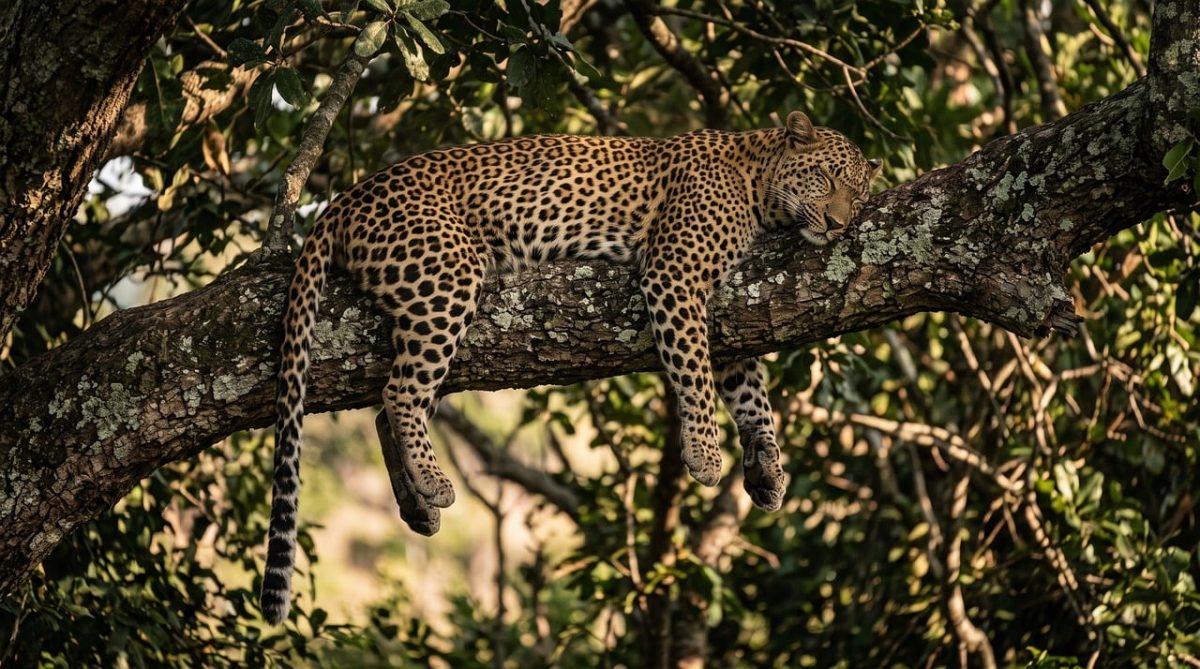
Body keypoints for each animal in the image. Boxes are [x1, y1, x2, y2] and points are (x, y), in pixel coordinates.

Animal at [260, 110, 881, 624]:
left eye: (858, 195)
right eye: (826, 179)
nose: (836, 223)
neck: (760, 186)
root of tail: (345, 198)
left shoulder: (730, 310)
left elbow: (750, 392)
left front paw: (768, 468)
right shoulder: (675, 274)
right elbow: (696, 375)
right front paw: (706, 456)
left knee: (385, 410)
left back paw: (418, 506)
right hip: (447, 276)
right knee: (399, 395)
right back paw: (436, 484)